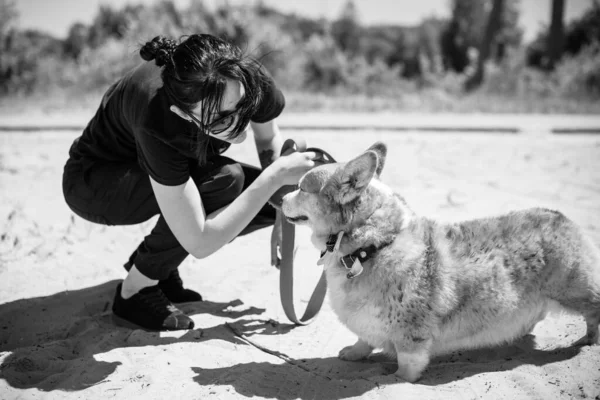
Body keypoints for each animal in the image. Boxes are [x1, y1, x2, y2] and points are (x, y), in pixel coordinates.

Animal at [282, 142, 600, 382]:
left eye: (301, 188)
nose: (280, 199)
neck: (371, 246)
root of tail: (561, 216)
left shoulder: (410, 331)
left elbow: (408, 361)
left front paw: (399, 379)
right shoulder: (367, 321)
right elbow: (364, 340)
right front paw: (353, 353)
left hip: (574, 291)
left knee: (594, 311)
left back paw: (588, 342)